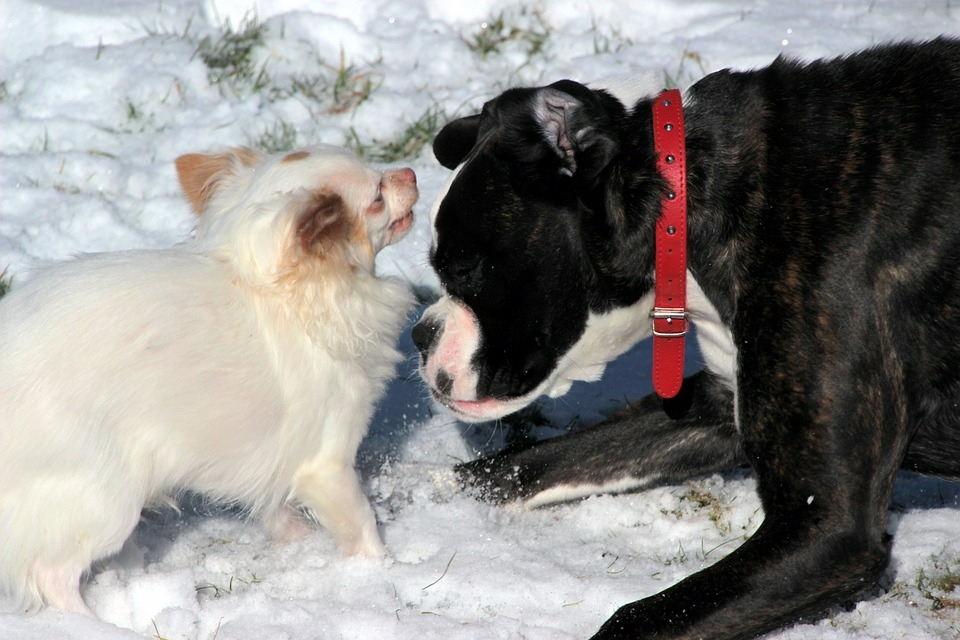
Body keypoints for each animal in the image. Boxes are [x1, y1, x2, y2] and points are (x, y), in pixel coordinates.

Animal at [0, 144, 416, 616]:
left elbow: (274, 503)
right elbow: (361, 521)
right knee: (51, 575)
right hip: (105, 498)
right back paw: (93, 621)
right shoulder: (327, 463)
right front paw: (379, 572)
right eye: (377, 197)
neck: (280, 292)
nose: (410, 172)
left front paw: (296, 539)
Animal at [416, 40, 960, 640]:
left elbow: (638, 618)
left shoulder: (829, 526)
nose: (420, 335)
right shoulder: (714, 407)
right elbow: (526, 464)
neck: (689, 203)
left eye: (464, 267)